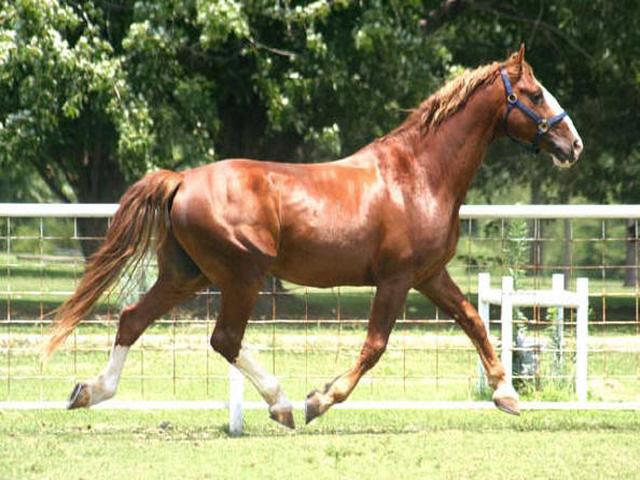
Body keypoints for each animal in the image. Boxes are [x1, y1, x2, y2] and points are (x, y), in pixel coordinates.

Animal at [45, 45, 583, 429]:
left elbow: (472, 320)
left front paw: (506, 394)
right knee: (224, 338)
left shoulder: (430, 275)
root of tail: (182, 179)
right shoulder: (396, 279)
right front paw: (319, 399)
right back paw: (282, 403)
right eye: (535, 94)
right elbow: (375, 345)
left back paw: (89, 391)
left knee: (134, 319)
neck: (418, 175)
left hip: (187, 275)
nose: (573, 144)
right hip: (241, 275)